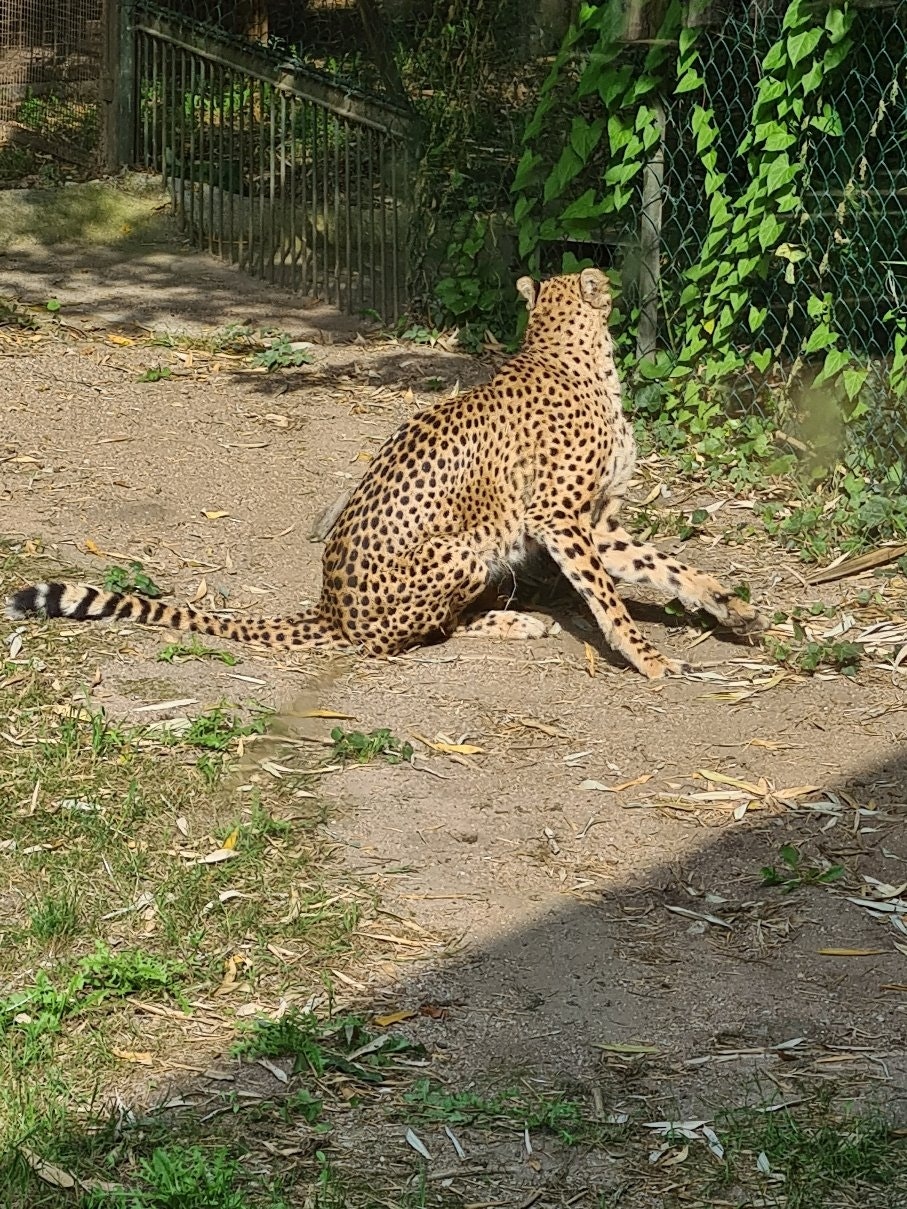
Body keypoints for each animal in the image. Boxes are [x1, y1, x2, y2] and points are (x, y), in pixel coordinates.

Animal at [5, 268, 769, 677]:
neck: (563, 350)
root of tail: (326, 605)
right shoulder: (558, 518)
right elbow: (608, 599)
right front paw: (646, 657)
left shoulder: (594, 521)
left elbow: (665, 564)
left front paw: (726, 603)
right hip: (462, 551)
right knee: (415, 638)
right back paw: (515, 624)